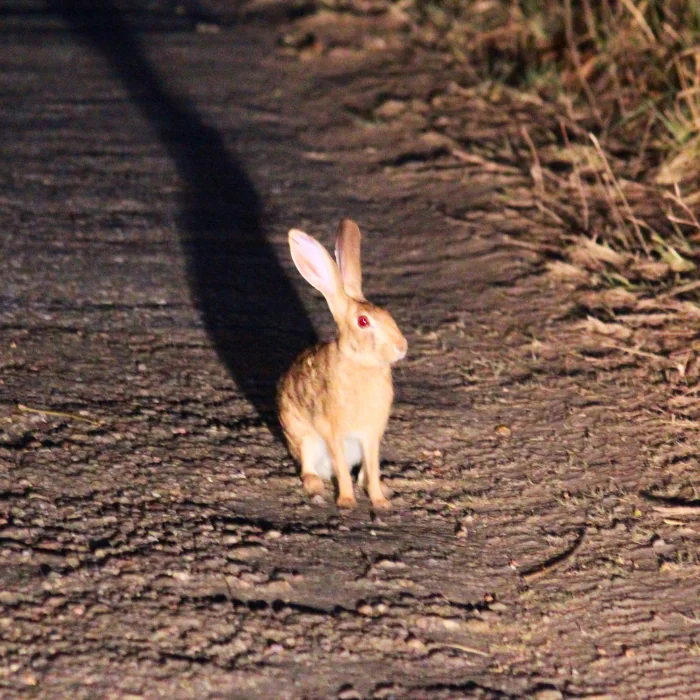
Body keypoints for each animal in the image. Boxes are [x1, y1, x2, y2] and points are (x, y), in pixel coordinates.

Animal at [277, 218, 407, 510]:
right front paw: (347, 502)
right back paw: (316, 487)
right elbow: (341, 465)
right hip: (304, 439)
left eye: (388, 315)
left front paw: (380, 501)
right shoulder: (333, 431)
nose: (401, 347)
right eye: (363, 321)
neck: (360, 362)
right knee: (310, 468)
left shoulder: (371, 434)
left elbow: (372, 463)